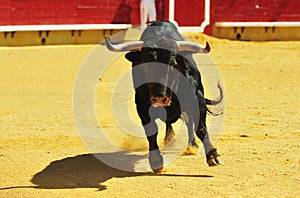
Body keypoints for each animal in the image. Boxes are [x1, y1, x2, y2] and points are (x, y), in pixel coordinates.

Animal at [105, 20, 223, 172]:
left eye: (173, 63)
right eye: (145, 64)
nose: (160, 98)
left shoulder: (197, 100)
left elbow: (201, 128)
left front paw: (213, 156)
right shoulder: (142, 106)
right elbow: (151, 131)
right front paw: (156, 161)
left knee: (189, 121)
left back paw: (192, 145)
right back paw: (169, 138)